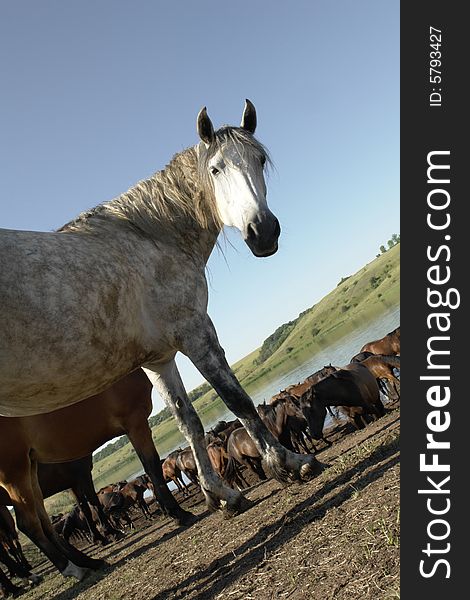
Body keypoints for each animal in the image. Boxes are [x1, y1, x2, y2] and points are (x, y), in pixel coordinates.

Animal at [0, 368, 195, 580]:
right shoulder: (134, 422)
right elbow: (151, 466)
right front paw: (178, 513)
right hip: (15, 472)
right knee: (29, 525)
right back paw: (67, 568)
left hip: (30, 469)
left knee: (45, 525)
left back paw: (88, 562)